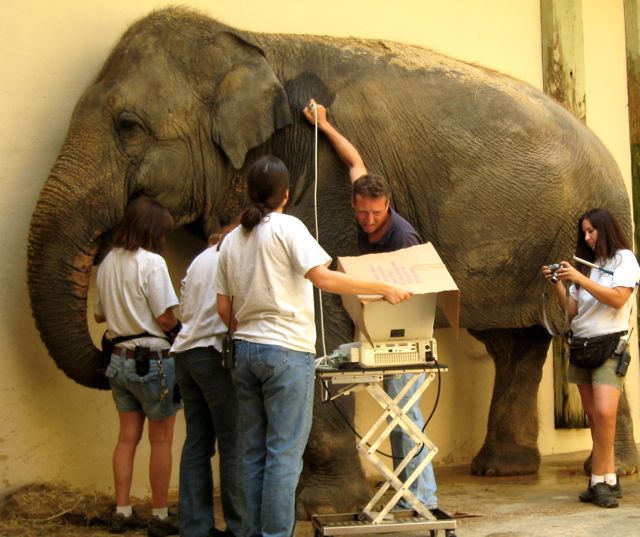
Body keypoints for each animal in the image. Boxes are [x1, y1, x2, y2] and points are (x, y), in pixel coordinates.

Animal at [27, 5, 636, 516]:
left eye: (128, 127)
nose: (112, 343)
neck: (253, 42)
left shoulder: (329, 179)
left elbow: (324, 308)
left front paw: (318, 507)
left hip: (603, 222)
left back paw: (611, 471)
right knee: (515, 343)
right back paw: (503, 470)